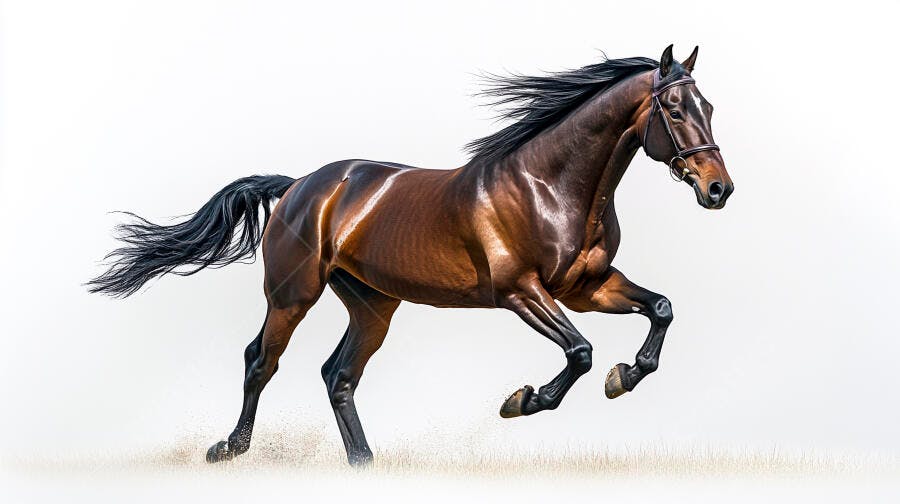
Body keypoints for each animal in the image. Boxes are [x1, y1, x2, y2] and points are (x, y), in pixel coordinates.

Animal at [88, 44, 733, 466]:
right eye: (675, 110)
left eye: (709, 107)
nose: (718, 190)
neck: (548, 187)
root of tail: (299, 185)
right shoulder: (522, 292)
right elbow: (579, 352)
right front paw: (522, 401)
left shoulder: (588, 286)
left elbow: (661, 309)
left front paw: (625, 376)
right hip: (293, 294)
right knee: (260, 361)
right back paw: (229, 448)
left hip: (373, 304)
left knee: (338, 375)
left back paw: (364, 462)